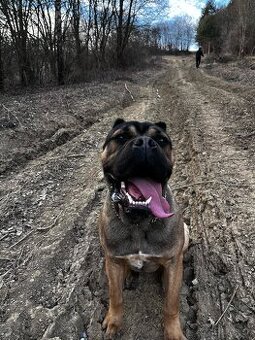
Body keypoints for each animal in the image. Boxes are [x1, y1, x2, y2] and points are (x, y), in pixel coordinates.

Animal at [98, 119, 188, 340]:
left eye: (161, 140)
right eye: (121, 137)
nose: (146, 142)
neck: (139, 220)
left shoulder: (173, 260)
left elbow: (171, 305)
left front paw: (173, 332)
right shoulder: (113, 260)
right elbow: (115, 296)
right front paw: (113, 322)